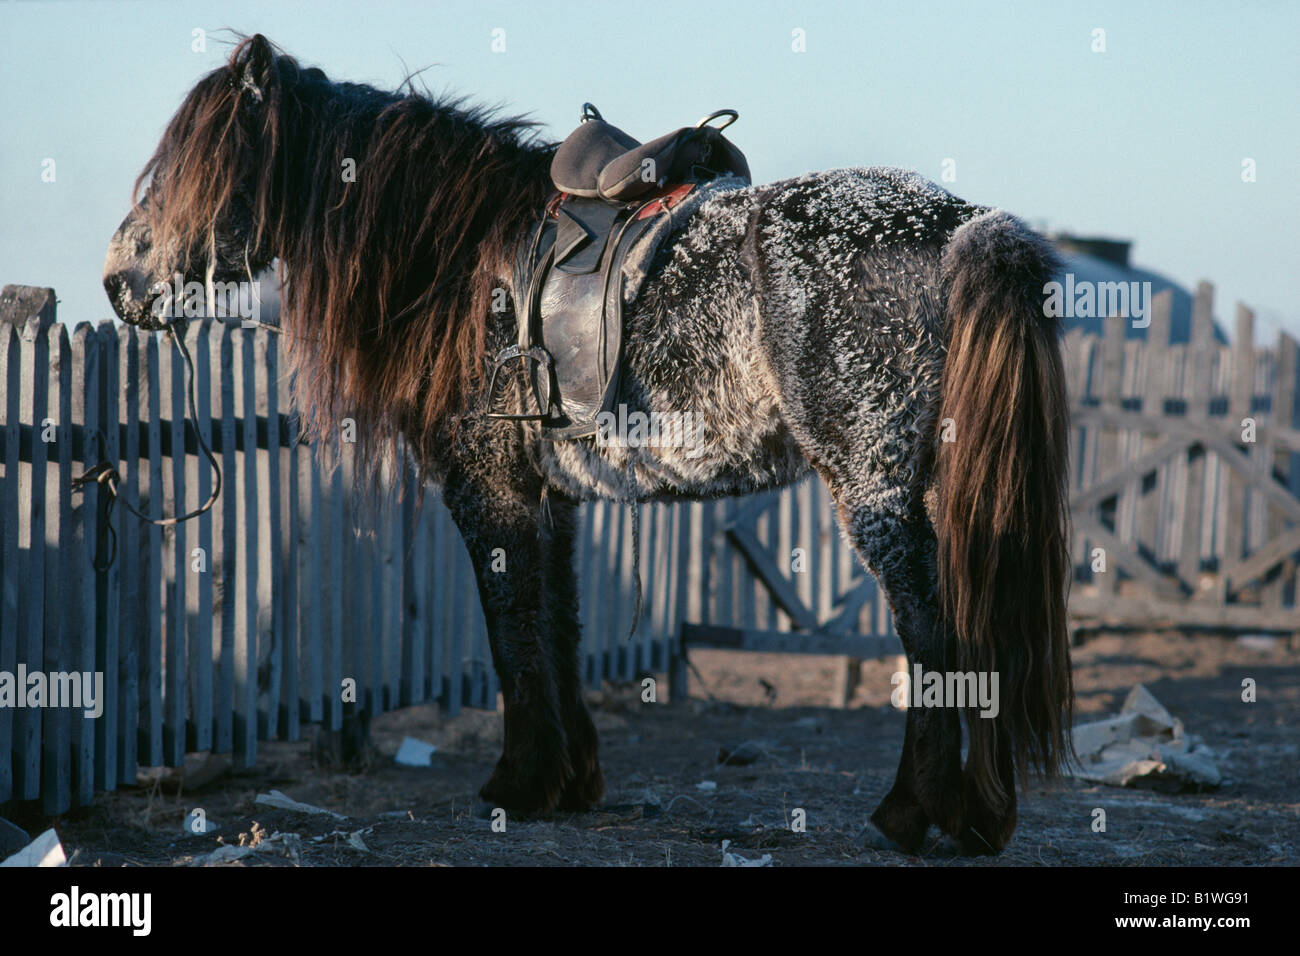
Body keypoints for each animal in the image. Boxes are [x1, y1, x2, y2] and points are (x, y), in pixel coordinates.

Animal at [101, 33, 1071, 858]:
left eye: (194, 165)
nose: (119, 278)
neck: (461, 260)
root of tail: (963, 226)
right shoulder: (550, 497)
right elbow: (557, 624)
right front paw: (571, 781)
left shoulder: (487, 490)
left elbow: (511, 629)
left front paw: (518, 784)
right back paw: (979, 818)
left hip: (873, 487)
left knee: (932, 634)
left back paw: (914, 813)